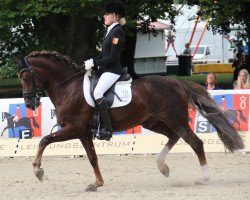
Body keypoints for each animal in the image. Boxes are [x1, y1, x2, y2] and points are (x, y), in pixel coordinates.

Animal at [17, 50, 244, 191]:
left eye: (26, 77)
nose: (28, 103)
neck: (68, 88)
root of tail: (178, 82)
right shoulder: (83, 133)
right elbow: (92, 158)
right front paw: (97, 184)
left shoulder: (74, 128)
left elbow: (44, 140)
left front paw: (38, 170)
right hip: (152, 121)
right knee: (173, 136)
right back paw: (163, 167)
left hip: (175, 119)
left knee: (195, 143)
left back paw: (203, 177)